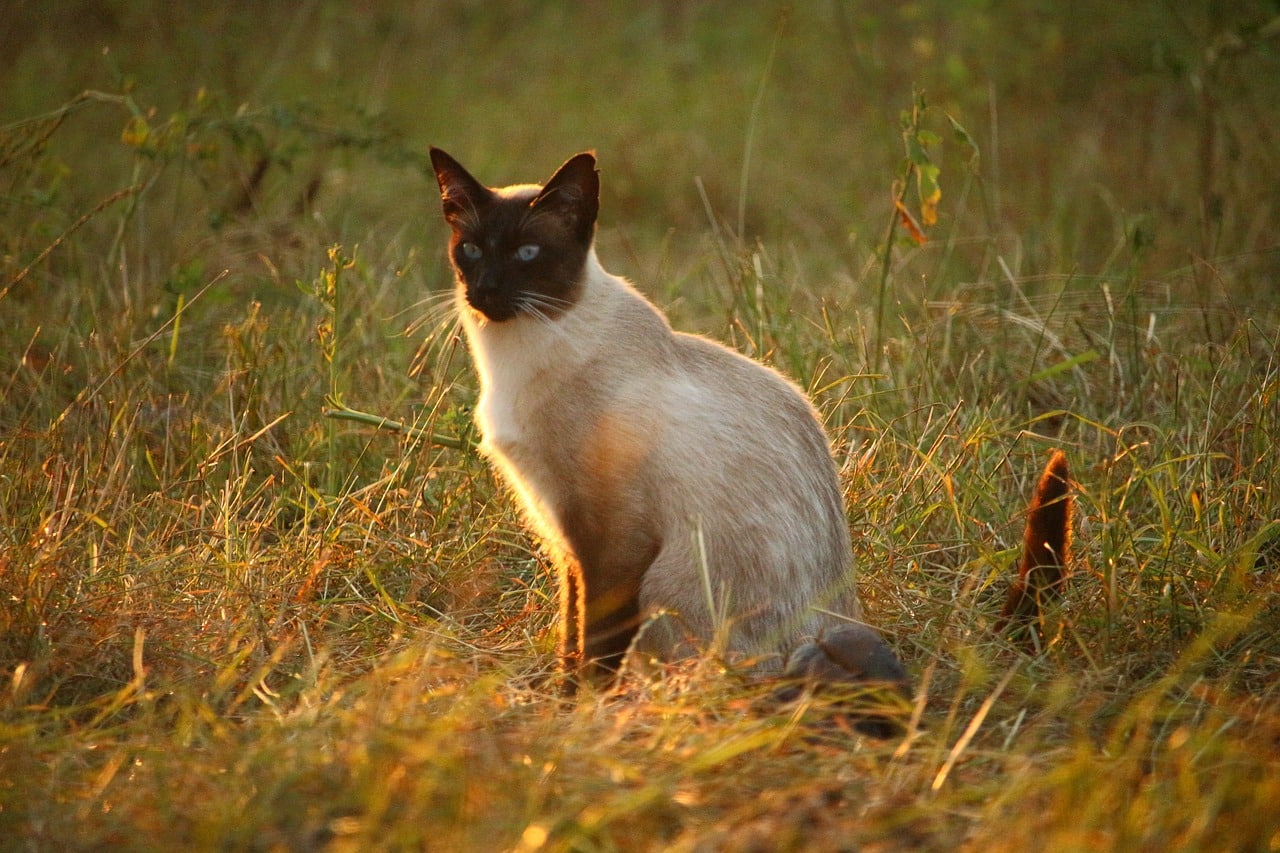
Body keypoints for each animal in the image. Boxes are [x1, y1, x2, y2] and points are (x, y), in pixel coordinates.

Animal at [424, 147, 906, 691]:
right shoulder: (567, 544)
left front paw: (582, 706)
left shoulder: (611, 544)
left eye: (527, 253)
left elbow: (593, 646)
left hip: (665, 588)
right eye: (471, 250)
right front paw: (561, 697)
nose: (484, 291)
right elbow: (571, 632)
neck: (514, 359)